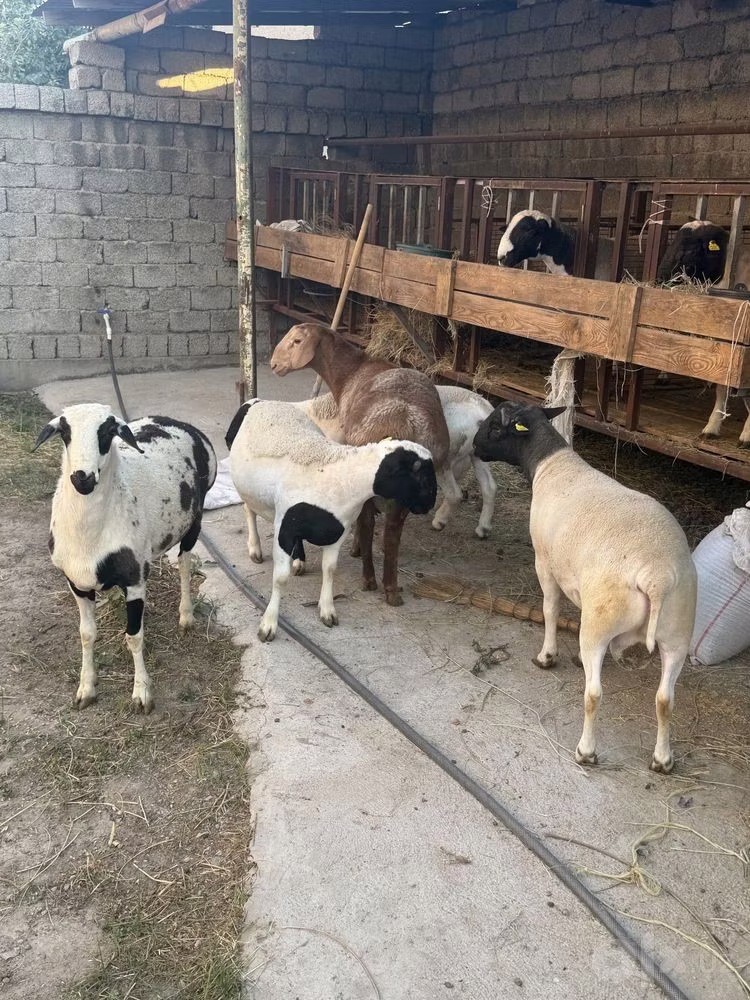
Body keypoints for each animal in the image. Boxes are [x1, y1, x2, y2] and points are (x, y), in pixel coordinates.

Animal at [34, 403, 217, 713]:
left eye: (108, 431)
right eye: (64, 432)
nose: (82, 478)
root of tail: (177, 422)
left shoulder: (135, 580)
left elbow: (134, 636)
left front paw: (142, 692)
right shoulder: (76, 584)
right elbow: (86, 634)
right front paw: (86, 689)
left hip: (195, 520)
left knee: (184, 563)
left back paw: (186, 615)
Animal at [225, 398, 437, 641]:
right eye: (423, 476)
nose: (430, 503)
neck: (342, 477)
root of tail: (261, 400)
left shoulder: (338, 530)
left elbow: (330, 569)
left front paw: (327, 610)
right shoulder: (285, 528)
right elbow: (280, 578)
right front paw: (268, 624)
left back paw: (299, 561)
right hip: (247, 489)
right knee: (248, 509)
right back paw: (255, 549)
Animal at [270, 322, 459, 606]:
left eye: (297, 341)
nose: (273, 365)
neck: (350, 373)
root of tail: (404, 425)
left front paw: (356, 548)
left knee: (369, 523)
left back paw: (369, 579)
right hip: (406, 496)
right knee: (392, 535)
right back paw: (391, 589)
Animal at [295, 386, 498, 539]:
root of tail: (483, 408)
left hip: (446, 456)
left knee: (455, 493)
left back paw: (440, 520)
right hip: (477, 454)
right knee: (489, 487)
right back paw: (483, 528)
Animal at [473, 401, 696, 773]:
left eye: (493, 426)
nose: (474, 447)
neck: (550, 463)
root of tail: (656, 577)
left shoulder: (545, 562)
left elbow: (550, 610)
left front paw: (547, 656)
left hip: (604, 618)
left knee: (594, 694)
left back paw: (586, 751)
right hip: (677, 632)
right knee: (666, 698)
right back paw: (662, 759)